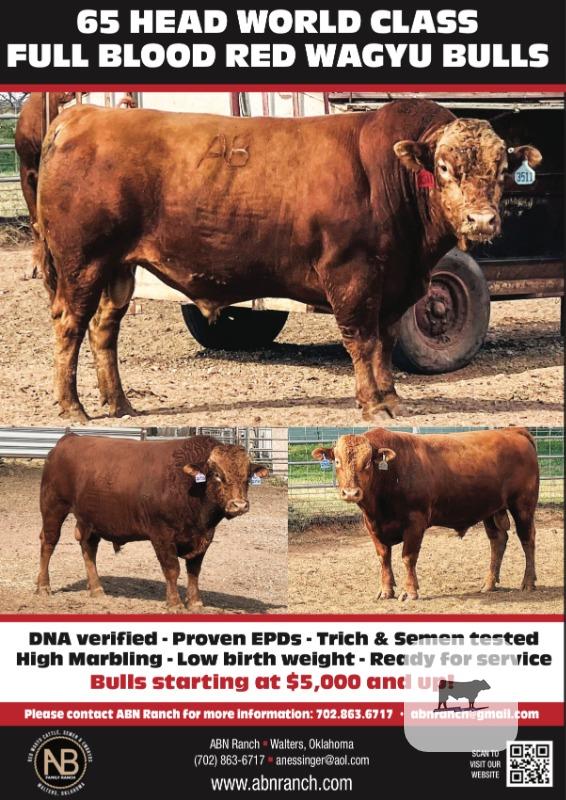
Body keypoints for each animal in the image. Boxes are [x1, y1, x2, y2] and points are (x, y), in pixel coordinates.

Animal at [35, 99, 542, 422]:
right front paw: (373, 404)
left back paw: (119, 403)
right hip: (83, 261)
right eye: (443, 167)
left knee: (104, 328)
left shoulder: (396, 285)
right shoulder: (351, 273)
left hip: (118, 266)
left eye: (501, 170)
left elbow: (385, 341)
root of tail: (81, 115)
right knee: (69, 323)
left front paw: (392, 398)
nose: (482, 220)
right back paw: (73, 407)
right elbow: (363, 341)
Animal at [36, 433, 269, 609]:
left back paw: (96, 589)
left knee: (88, 548)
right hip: (53, 507)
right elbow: (172, 569)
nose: (239, 505)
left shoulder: (204, 537)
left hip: (90, 520)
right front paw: (174, 604)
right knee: (48, 543)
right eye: (216, 475)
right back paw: (43, 587)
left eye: (247, 477)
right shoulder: (161, 535)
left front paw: (195, 603)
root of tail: (69, 439)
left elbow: (194, 571)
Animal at [312, 427, 539, 601]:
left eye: (368, 462)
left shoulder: (415, 522)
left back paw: (528, 582)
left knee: (527, 540)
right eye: (337, 461)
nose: (351, 493)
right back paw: (489, 584)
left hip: (523, 506)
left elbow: (408, 557)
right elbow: (383, 557)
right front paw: (386, 591)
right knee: (498, 541)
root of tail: (513, 431)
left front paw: (410, 592)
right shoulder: (372, 525)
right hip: (490, 510)